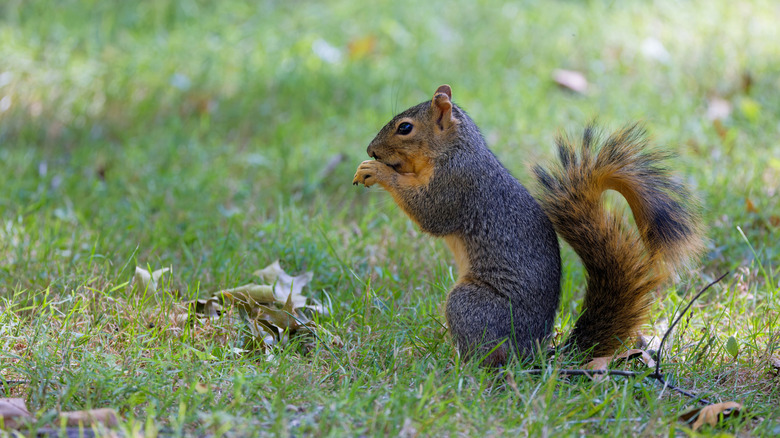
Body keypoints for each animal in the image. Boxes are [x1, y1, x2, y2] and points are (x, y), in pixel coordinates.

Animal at [352, 85, 704, 366]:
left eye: (405, 128)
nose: (371, 149)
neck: (455, 149)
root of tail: (532, 354)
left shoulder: (457, 183)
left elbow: (430, 214)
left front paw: (377, 171)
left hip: (472, 306)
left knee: (488, 358)